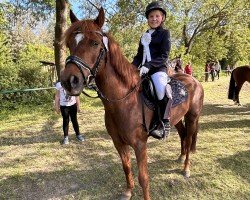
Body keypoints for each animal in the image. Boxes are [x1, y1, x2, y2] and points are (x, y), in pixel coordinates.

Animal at [61, 8, 205, 200]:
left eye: (94, 43)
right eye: (70, 43)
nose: (69, 82)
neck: (124, 101)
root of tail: (193, 80)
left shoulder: (139, 144)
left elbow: (143, 177)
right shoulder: (118, 143)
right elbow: (126, 166)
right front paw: (128, 191)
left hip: (192, 117)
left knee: (189, 139)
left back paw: (186, 168)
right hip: (177, 119)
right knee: (183, 135)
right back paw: (181, 157)